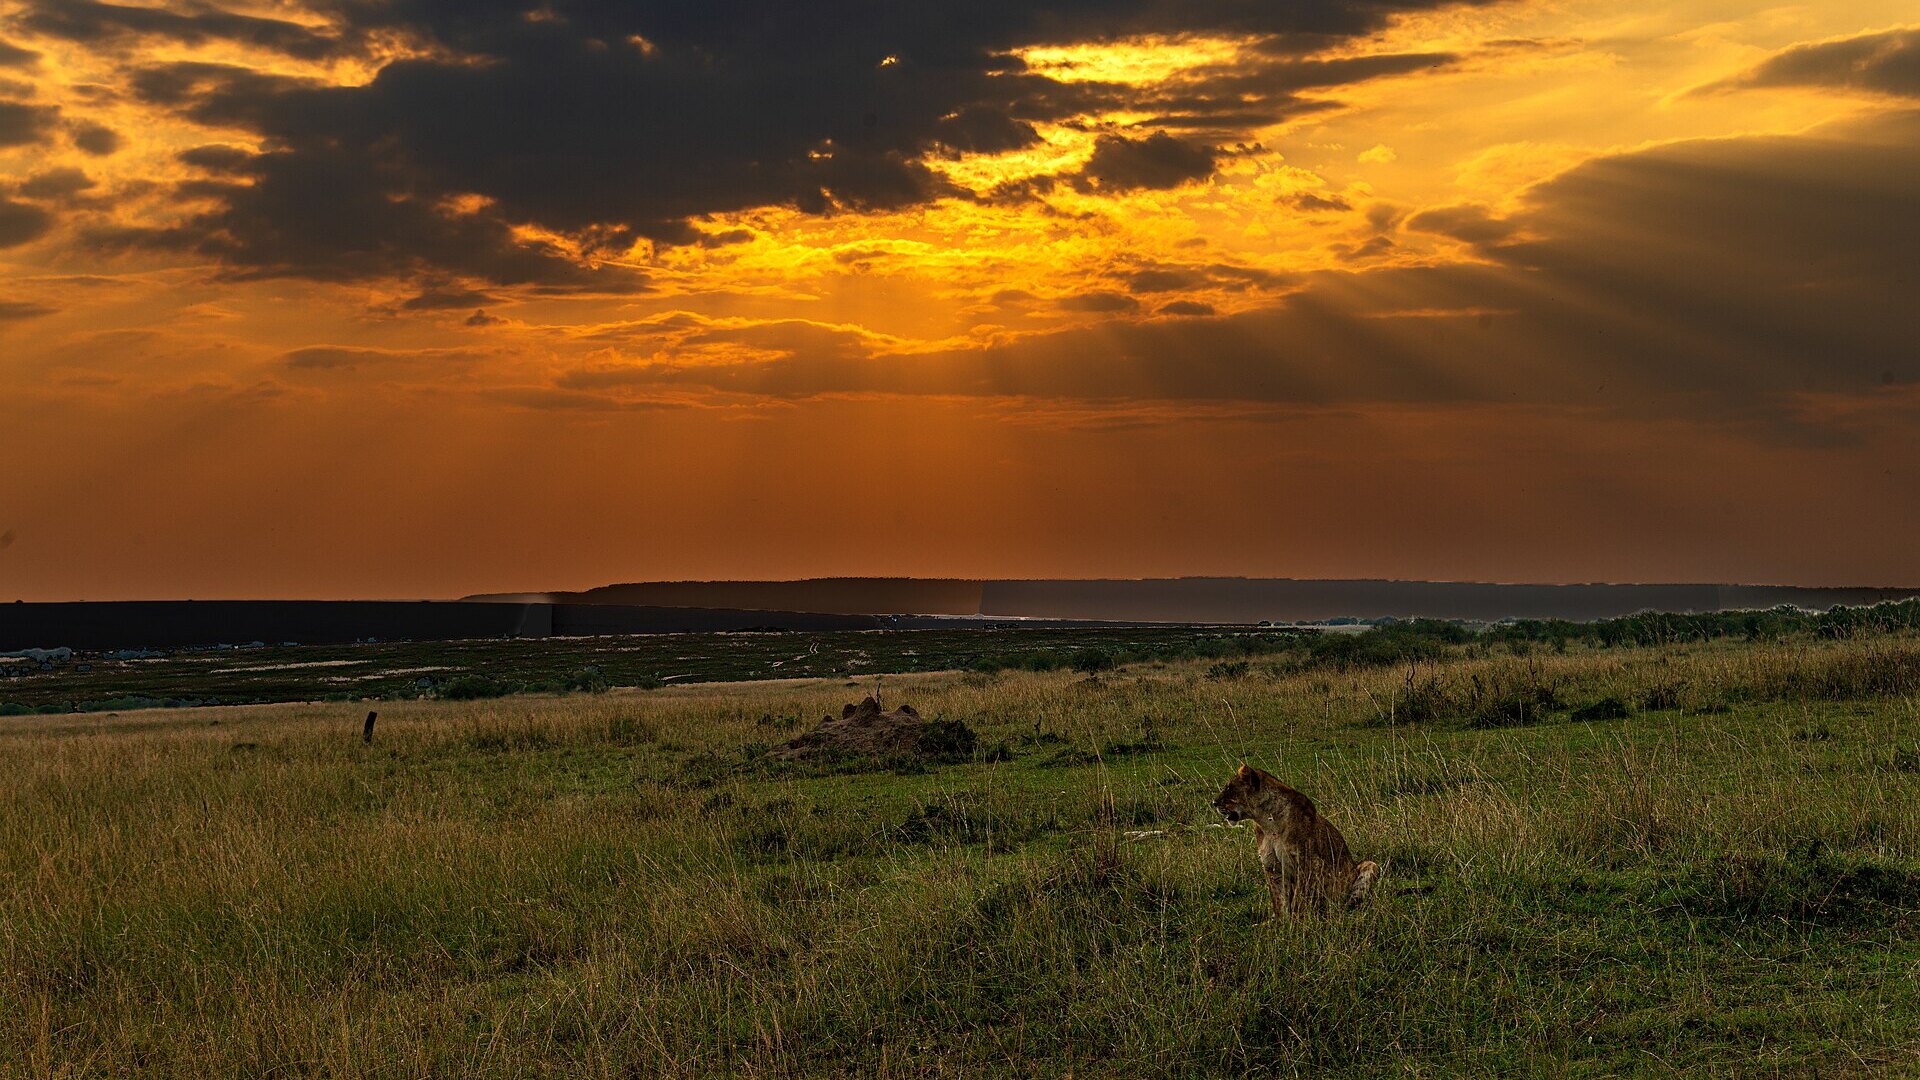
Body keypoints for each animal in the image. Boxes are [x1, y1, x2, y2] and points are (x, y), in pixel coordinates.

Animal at [1214, 764, 1378, 917]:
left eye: (1229, 788)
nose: (1214, 803)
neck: (1267, 822)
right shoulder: (1272, 867)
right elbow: (1279, 900)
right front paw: (1282, 924)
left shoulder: (1307, 863)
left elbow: (1300, 898)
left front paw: (1299, 921)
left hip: (1370, 865)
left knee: (1347, 903)